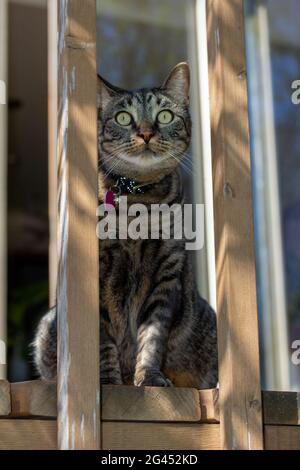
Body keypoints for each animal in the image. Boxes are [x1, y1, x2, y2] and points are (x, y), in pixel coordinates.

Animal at [33, 62, 218, 390]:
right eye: (123, 117)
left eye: (164, 115)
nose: (145, 133)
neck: (137, 202)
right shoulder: (97, 274)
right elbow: (103, 339)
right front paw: (107, 380)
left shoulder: (166, 274)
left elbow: (152, 337)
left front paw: (150, 377)